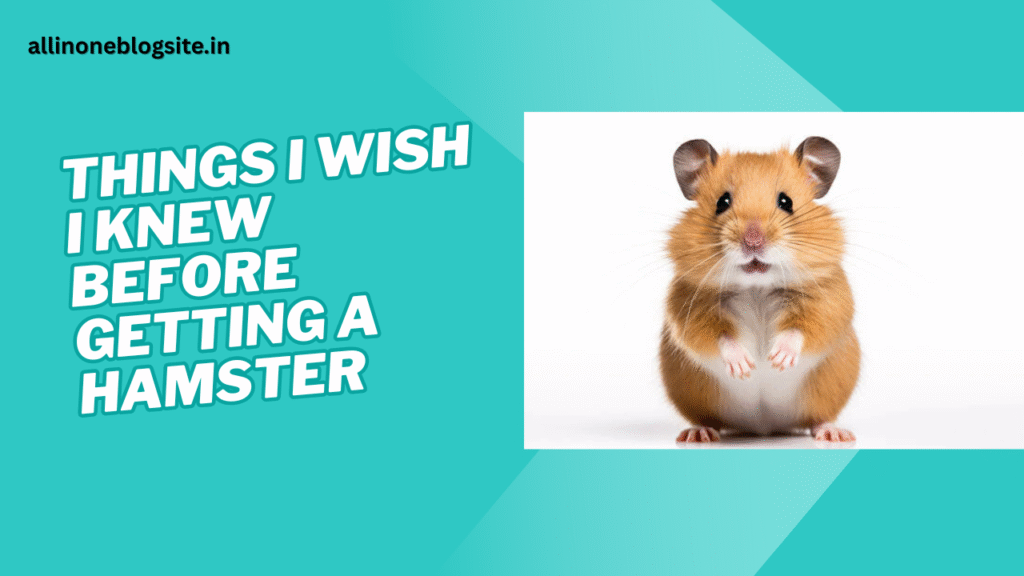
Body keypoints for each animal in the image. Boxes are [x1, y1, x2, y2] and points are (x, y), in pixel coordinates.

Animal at [660, 137, 859, 443]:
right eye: (722, 202)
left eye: (786, 202)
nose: (753, 241)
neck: (757, 287)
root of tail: (763, 426)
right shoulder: (689, 309)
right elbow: (720, 337)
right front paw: (745, 368)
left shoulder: (829, 302)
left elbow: (801, 329)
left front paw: (777, 360)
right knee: (708, 420)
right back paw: (699, 433)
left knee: (818, 418)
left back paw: (834, 434)